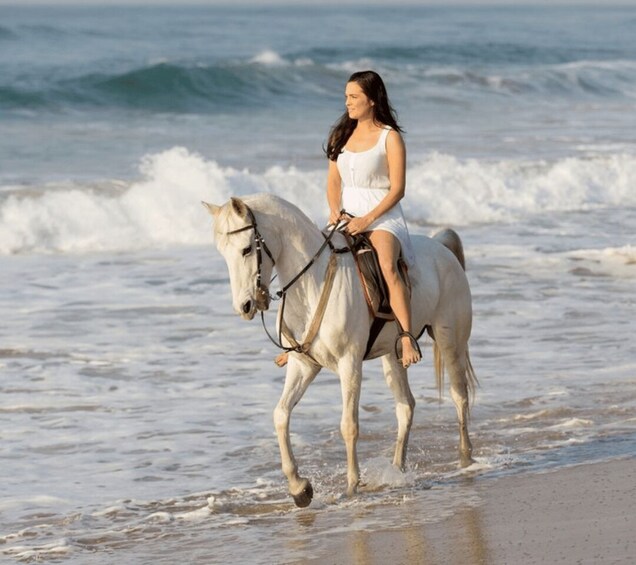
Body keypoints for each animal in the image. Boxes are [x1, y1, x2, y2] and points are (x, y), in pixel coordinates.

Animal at [204, 194, 476, 506]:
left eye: (247, 249)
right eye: (223, 253)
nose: (245, 307)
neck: (312, 283)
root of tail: (442, 248)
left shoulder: (350, 363)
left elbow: (349, 425)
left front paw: (351, 487)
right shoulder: (303, 366)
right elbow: (281, 415)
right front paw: (299, 488)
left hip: (450, 341)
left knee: (459, 396)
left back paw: (466, 460)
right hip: (392, 356)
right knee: (406, 406)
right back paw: (397, 470)